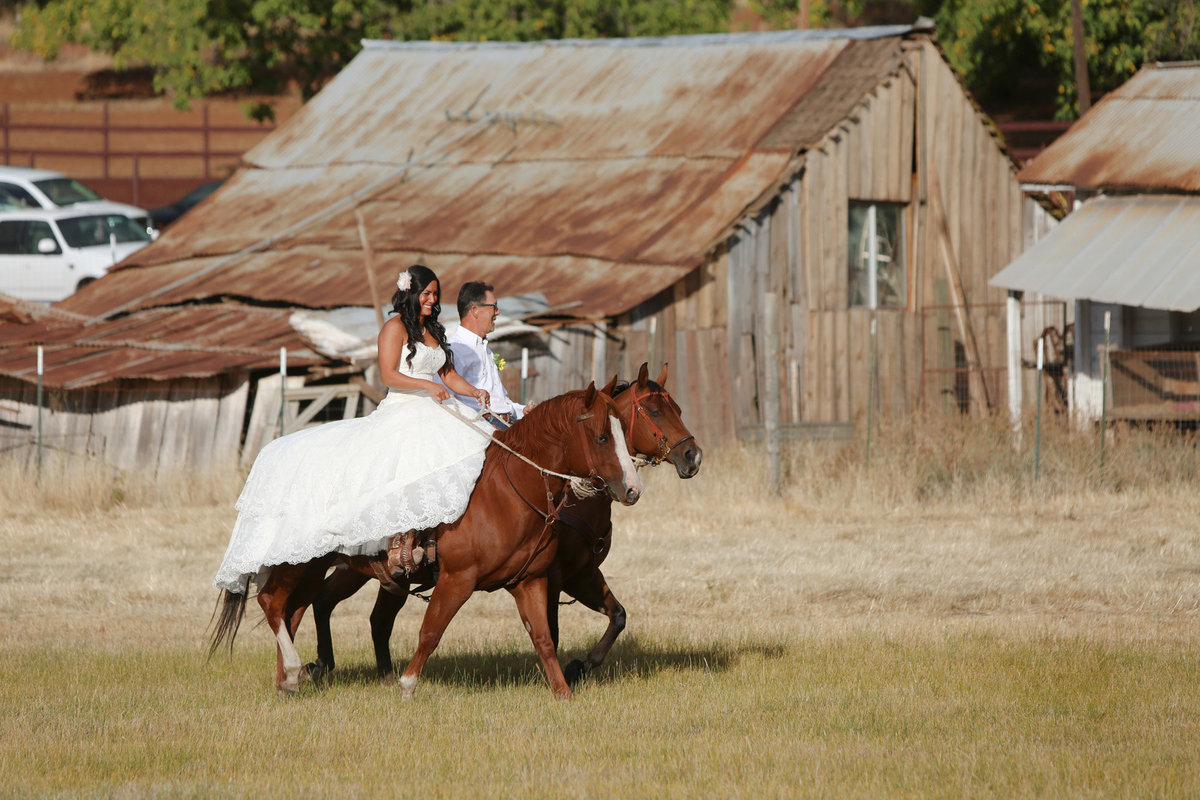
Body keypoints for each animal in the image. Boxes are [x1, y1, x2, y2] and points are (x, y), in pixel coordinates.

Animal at [207, 381, 643, 695]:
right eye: (602, 437)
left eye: (625, 430)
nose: (632, 489)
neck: (505, 492)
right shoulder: (457, 579)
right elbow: (432, 631)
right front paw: (407, 684)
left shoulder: (531, 581)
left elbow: (544, 638)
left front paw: (563, 692)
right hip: (294, 562)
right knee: (272, 603)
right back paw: (297, 670)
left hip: (313, 566)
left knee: (293, 610)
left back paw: (288, 680)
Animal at [307, 364, 700, 690]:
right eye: (653, 411)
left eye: (679, 410)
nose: (692, 456)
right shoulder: (544, 578)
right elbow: (550, 629)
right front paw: (568, 670)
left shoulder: (576, 574)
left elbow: (614, 616)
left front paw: (578, 668)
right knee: (330, 603)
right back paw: (324, 667)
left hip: (375, 574)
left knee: (358, 612)